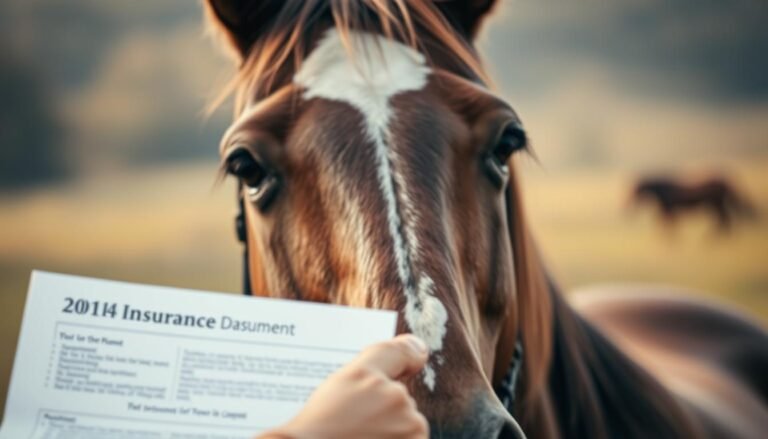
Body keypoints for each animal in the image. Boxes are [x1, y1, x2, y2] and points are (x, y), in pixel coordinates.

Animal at [630, 175, 759, 232]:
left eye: (636, 191)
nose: (630, 202)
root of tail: (726, 181)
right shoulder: (669, 210)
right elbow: (664, 223)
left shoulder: (669, 209)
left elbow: (666, 224)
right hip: (715, 205)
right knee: (724, 219)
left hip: (715, 204)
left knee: (724, 218)